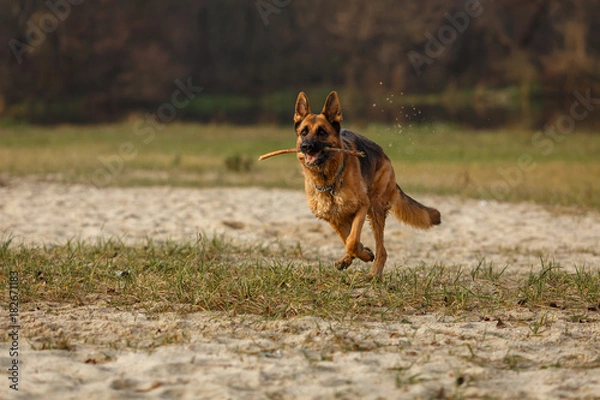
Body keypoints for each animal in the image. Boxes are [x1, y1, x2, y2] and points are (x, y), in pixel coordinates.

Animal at [296, 91, 440, 278]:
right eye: (303, 132)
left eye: (322, 132)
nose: (306, 146)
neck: (330, 181)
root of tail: (384, 155)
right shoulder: (333, 217)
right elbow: (348, 239)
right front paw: (360, 253)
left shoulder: (361, 207)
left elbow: (352, 241)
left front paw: (364, 253)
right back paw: (350, 260)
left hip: (375, 209)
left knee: (382, 250)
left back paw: (375, 273)